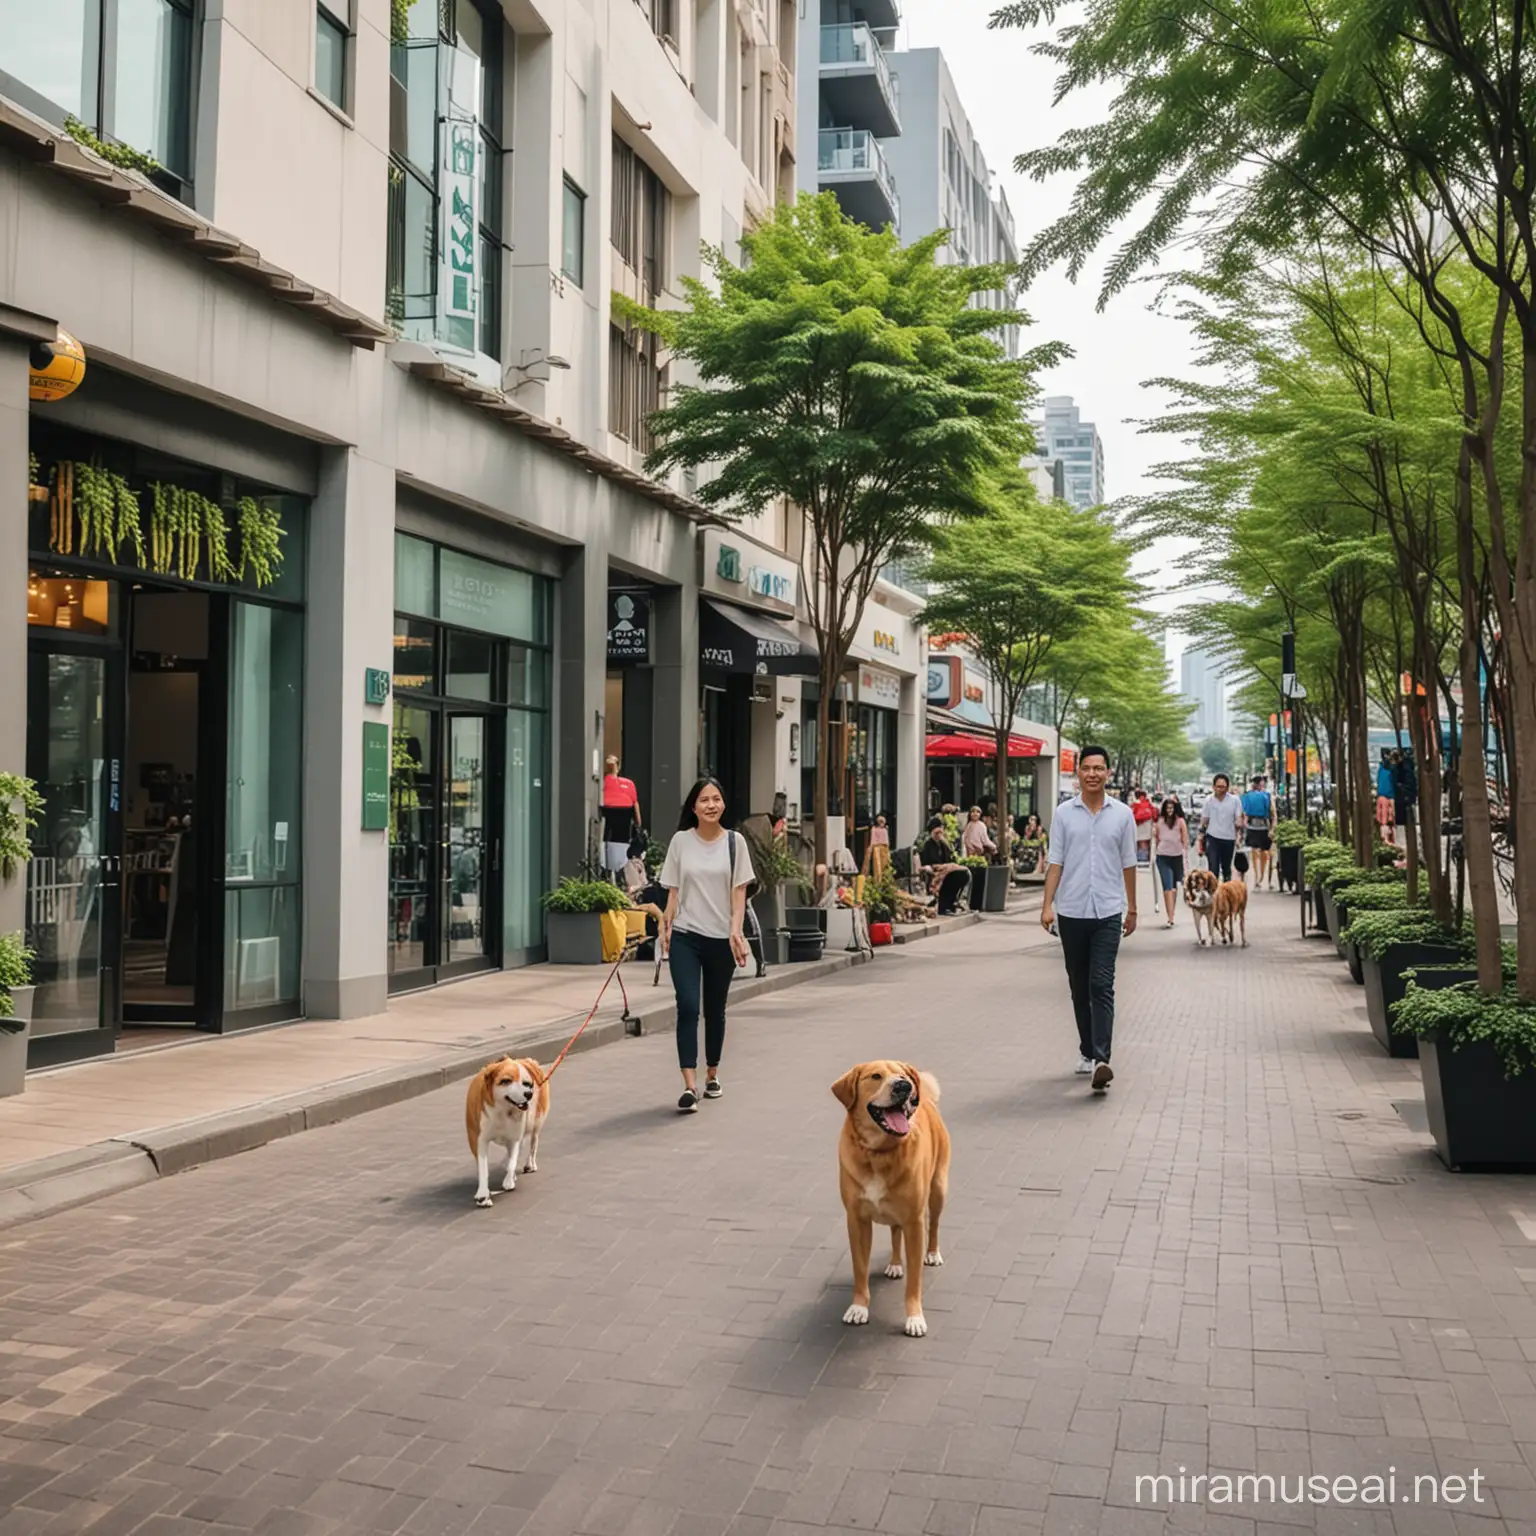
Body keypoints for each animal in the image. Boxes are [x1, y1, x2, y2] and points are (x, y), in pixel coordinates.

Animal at [463, 1062, 549, 1204]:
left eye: (527, 1083)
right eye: (506, 1081)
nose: (528, 1093)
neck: (502, 1110)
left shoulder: (514, 1138)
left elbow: (512, 1162)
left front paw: (508, 1181)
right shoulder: (478, 1140)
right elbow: (483, 1168)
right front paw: (483, 1194)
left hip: (535, 1122)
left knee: (533, 1143)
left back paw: (529, 1164)